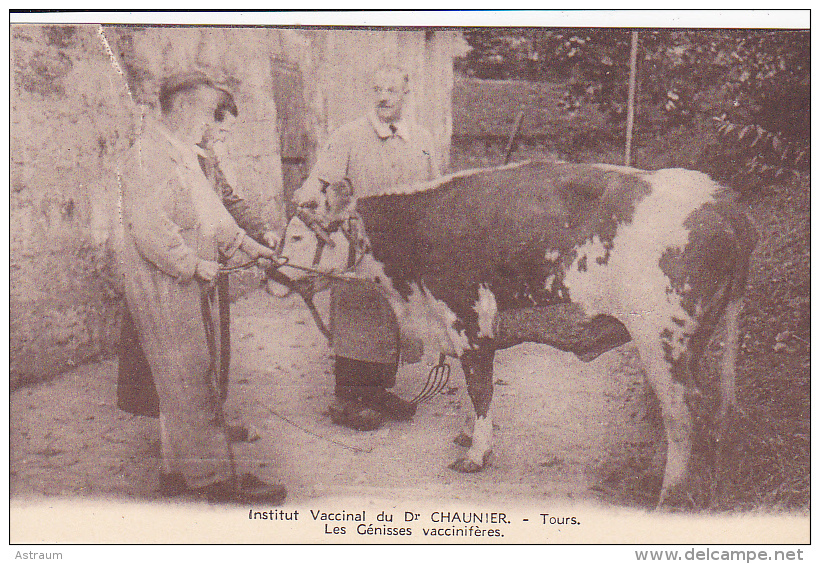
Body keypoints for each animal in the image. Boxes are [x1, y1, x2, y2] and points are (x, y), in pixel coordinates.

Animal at [280, 160, 756, 506]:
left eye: (300, 236)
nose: (273, 275)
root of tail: (723, 199)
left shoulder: (469, 324)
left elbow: (480, 389)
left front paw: (476, 455)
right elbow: (475, 390)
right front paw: (470, 435)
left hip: (662, 341)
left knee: (682, 411)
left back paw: (669, 494)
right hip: (699, 339)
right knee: (704, 408)